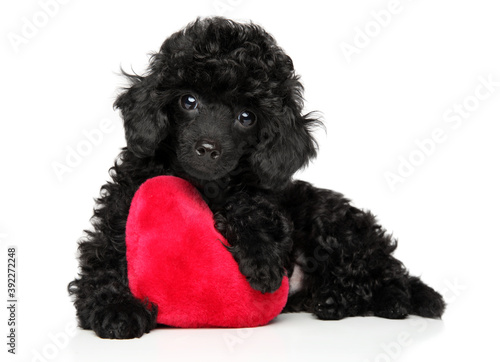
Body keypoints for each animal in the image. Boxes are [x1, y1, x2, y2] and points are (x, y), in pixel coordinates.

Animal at [67, 17, 446, 340]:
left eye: (246, 117)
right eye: (188, 100)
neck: (206, 188)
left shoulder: (265, 195)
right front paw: (116, 308)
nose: (208, 148)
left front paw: (261, 259)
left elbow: (254, 208)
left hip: (333, 224)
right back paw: (332, 300)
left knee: (389, 279)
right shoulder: (124, 202)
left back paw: (360, 299)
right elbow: (106, 254)